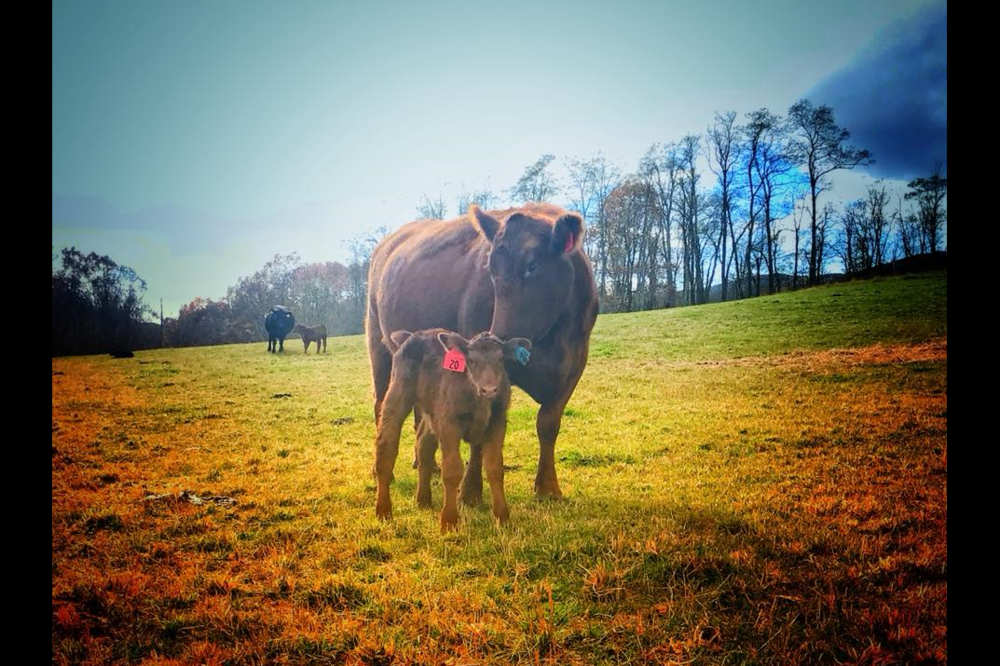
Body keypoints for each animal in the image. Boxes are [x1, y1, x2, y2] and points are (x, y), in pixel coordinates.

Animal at [370, 200, 596, 500]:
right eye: (491, 271)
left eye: (533, 265)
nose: (500, 336)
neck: (551, 338)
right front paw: (470, 493)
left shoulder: (575, 364)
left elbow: (548, 424)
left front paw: (548, 487)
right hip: (379, 346)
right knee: (381, 405)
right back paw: (381, 470)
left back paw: (427, 466)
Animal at [374, 328, 532, 528]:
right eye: (471, 361)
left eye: (501, 360)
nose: (489, 389)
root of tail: (415, 335)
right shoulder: (448, 424)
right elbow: (452, 471)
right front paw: (449, 520)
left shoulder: (497, 422)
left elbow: (495, 468)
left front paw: (502, 517)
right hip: (397, 392)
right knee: (386, 445)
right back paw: (383, 510)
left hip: (432, 410)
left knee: (423, 444)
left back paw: (423, 500)